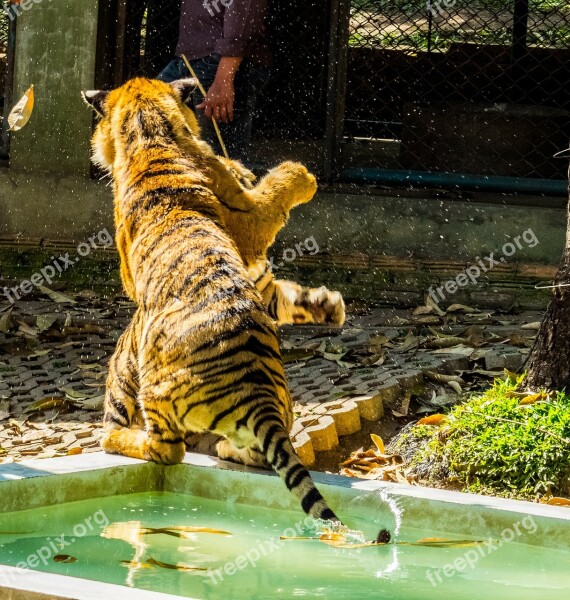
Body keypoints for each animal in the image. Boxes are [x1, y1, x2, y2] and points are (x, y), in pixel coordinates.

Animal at [81, 78, 342, 524]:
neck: (150, 131)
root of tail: (257, 396)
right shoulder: (252, 240)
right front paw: (331, 304)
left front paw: (302, 175)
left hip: (151, 381)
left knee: (164, 448)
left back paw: (128, 439)